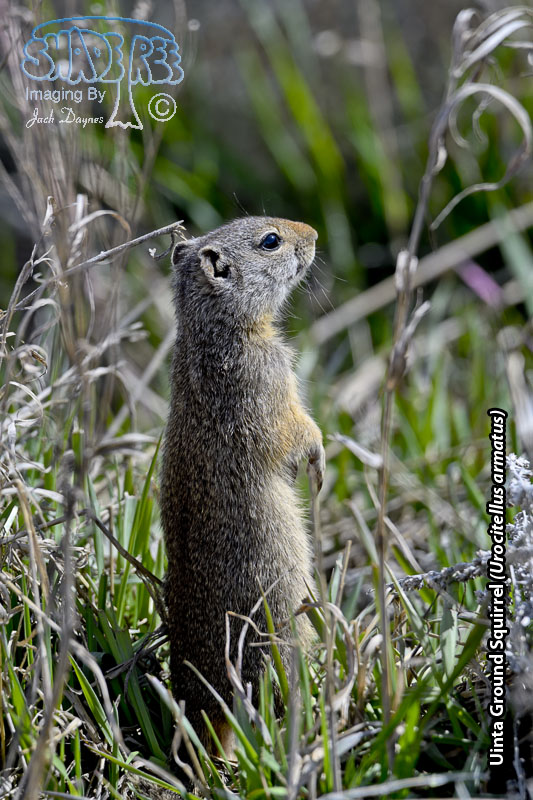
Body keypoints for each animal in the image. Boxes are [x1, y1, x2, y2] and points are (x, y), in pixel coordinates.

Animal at [160, 216, 325, 756]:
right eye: (270, 241)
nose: (312, 233)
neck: (210, 330)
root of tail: (202, 711)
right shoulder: (268, 384)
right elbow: (297, 429)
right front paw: (318, 460)